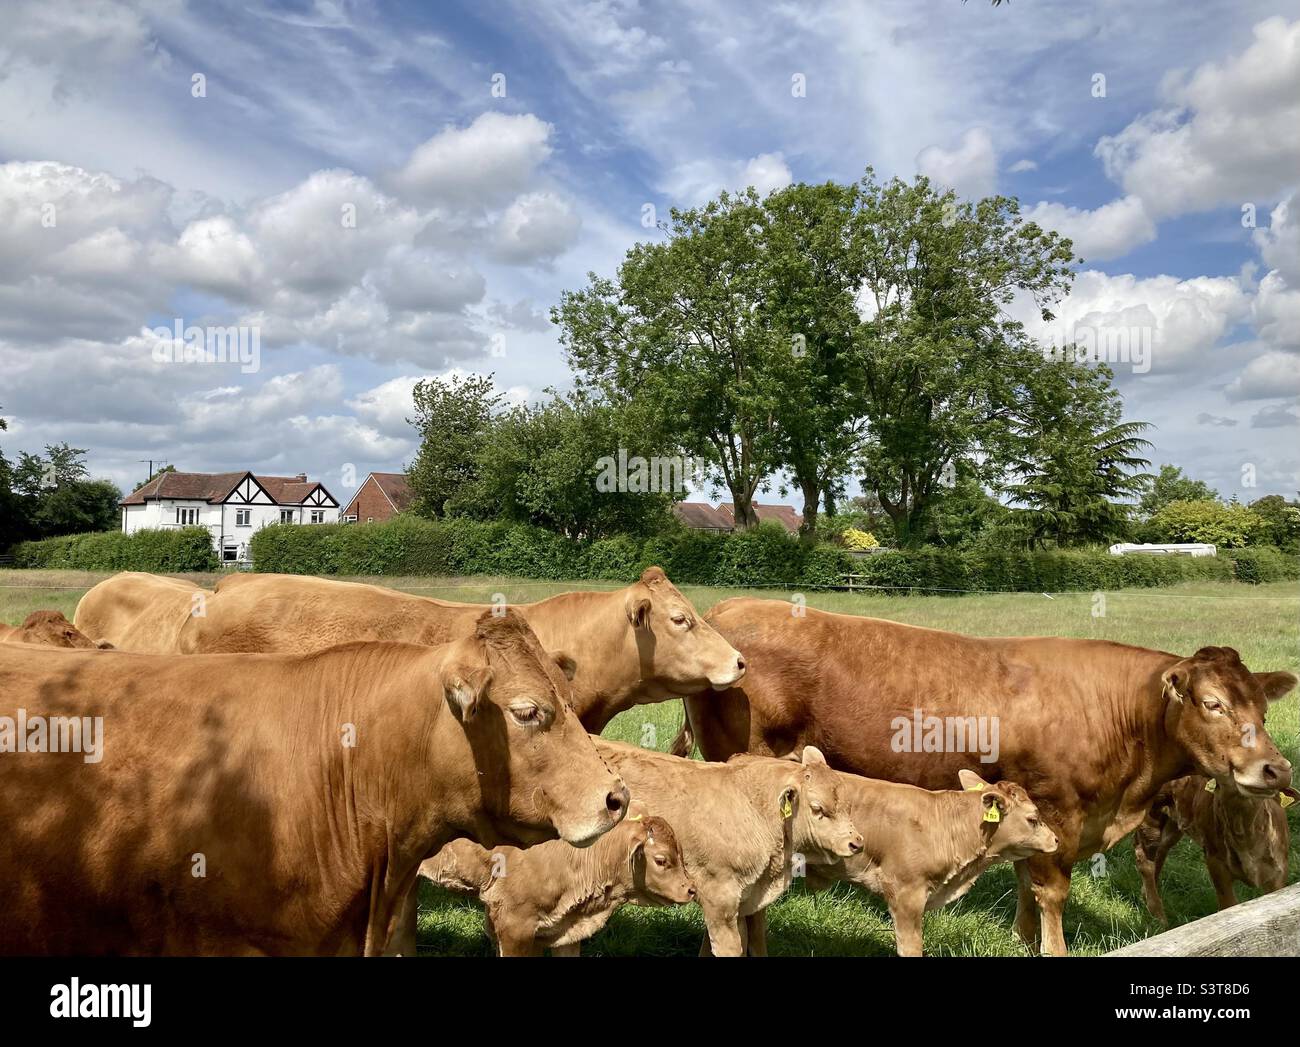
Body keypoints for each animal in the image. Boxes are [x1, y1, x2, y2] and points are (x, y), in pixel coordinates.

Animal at [594, 739, 863, 956]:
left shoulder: (740, 899)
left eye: (848, 805)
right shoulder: (720, 897)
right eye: (818, 808)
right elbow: (731, 947)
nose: (856, 842)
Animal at [1134, 775, 1299, 924]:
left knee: (1160, 852)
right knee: (1145, 859)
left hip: (1172, 825)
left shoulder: (1279, 870)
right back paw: (1159, 919)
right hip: (1150, 816)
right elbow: (1229, 906)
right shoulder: (1215, 862)